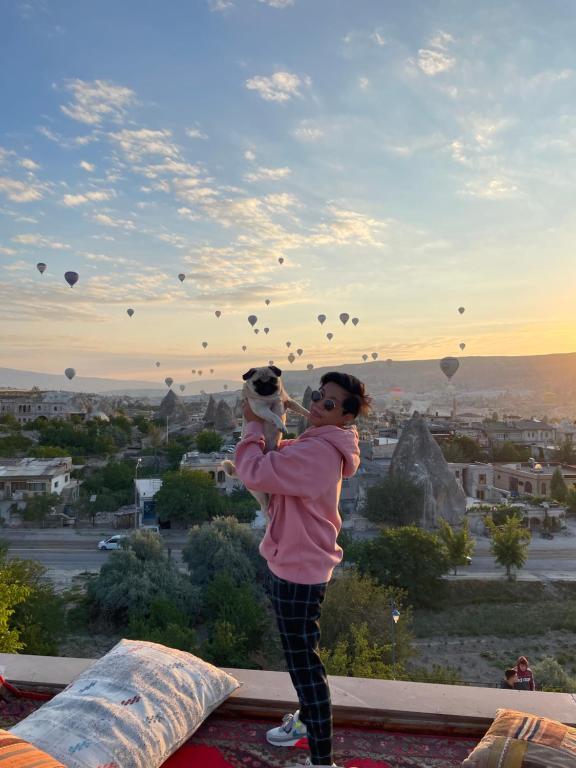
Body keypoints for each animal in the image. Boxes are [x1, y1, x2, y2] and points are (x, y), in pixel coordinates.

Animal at [222, 368, 310, 512]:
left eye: (272, 379)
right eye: (257, 382)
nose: (266, 386)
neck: (270, 398)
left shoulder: (288, 401)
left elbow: (301, 409)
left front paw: (310, 414)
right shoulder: (261, 409)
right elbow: (273, 415)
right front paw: (280, 424)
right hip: (259, 493)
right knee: (264, 507)